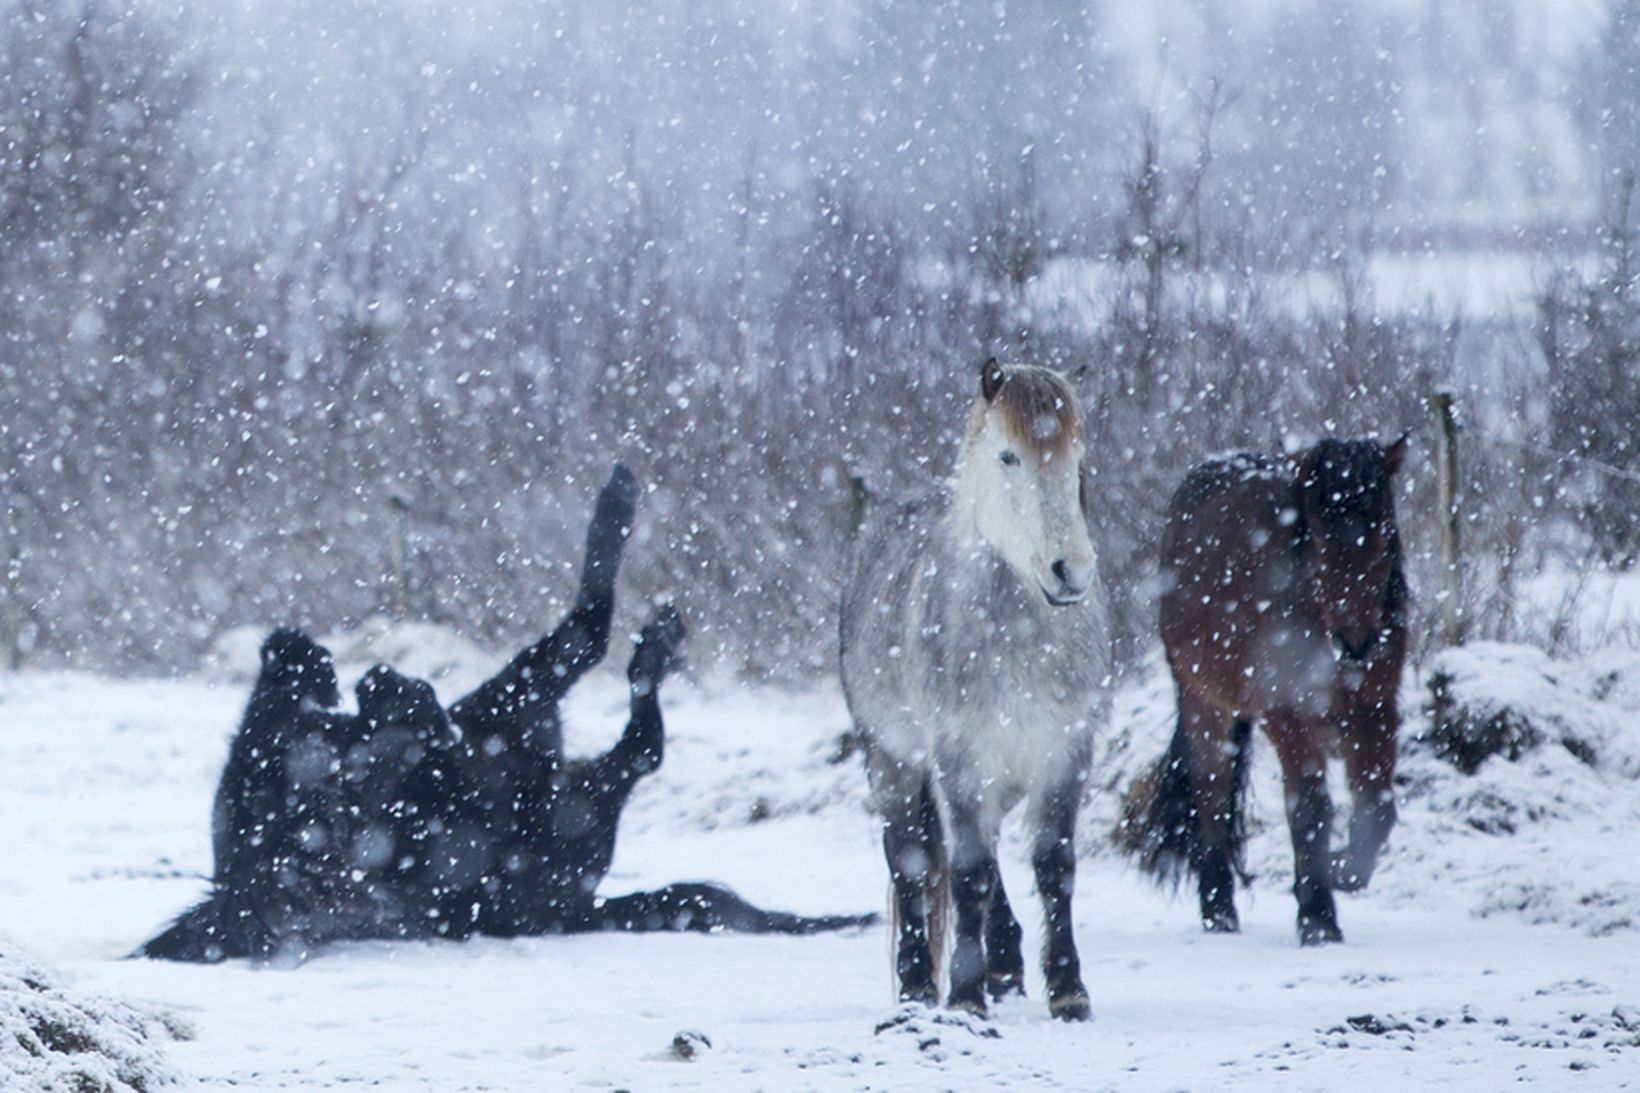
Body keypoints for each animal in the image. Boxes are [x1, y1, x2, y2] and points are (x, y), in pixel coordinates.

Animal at [1128, 433, 1410, 945]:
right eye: (1316, 535)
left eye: (1382, 528)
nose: (1356, 644)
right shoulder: (1289, 713)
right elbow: (1309, 808)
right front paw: (1317, 918)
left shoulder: (1374, 708)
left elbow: (1376, 808)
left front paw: (1340, 871)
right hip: (1202, 701)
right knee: (1212, 794)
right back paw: (1218, 911)